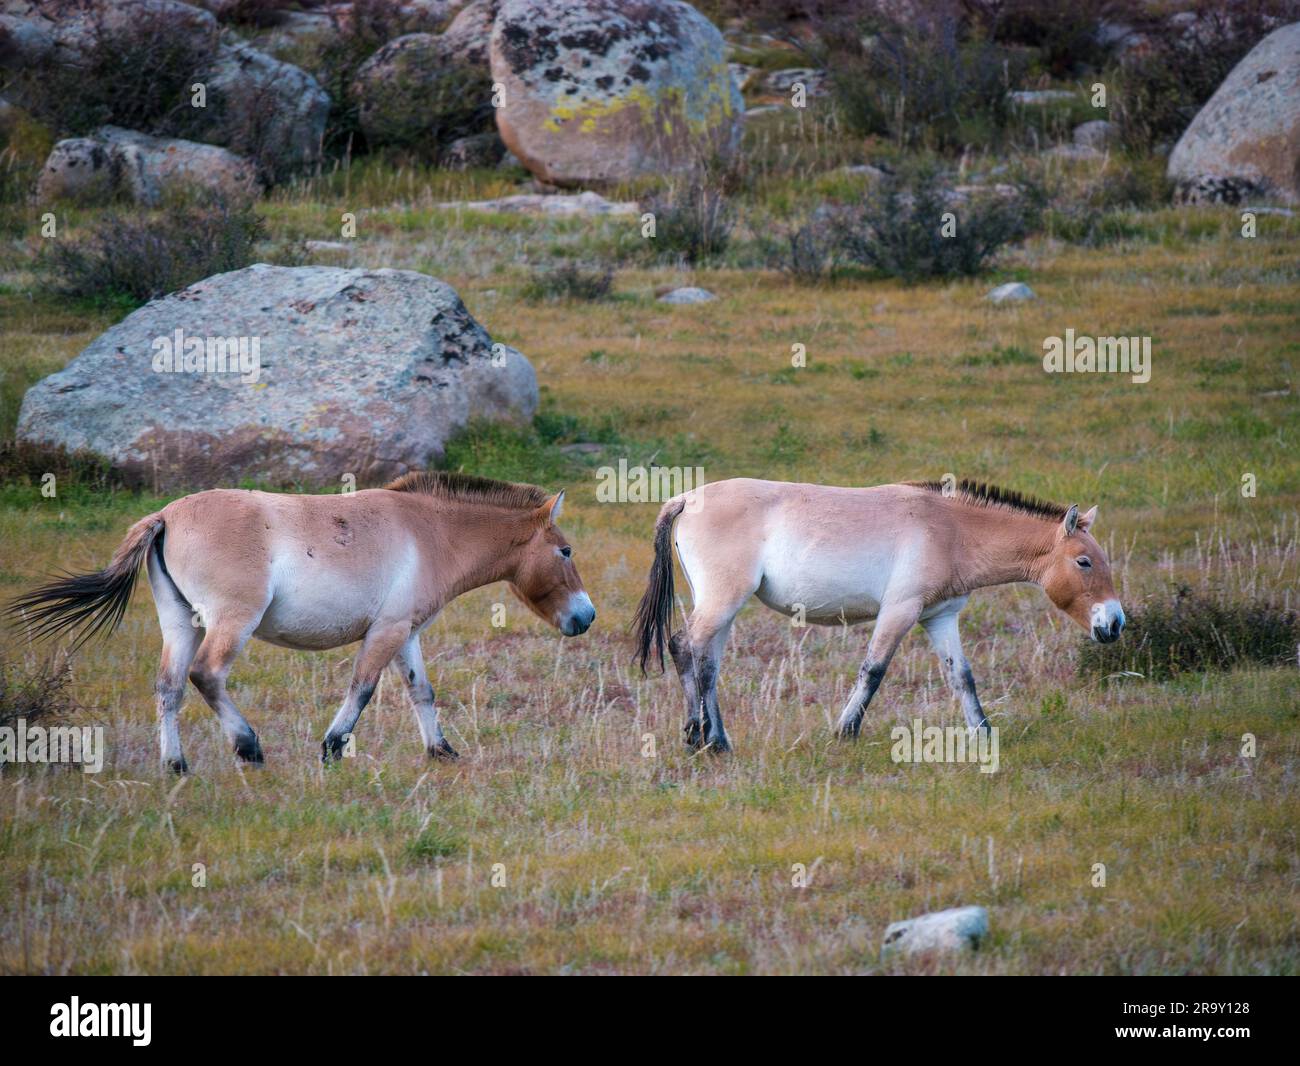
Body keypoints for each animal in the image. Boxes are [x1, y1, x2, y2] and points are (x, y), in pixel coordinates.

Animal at [7, 470, 595, 769]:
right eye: (565, 551)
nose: (585, 617)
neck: (429, 531)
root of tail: (165, 516)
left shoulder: (404, 632)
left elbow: (421, 691)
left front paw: (441, 751)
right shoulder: (385, 633)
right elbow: (362, 689)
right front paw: (332, 747)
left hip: (181, 625)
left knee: (169, 688)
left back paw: (176, 765)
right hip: (231, 622)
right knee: (206, 676)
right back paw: (248, 748)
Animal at [634, 478, 1123, 754]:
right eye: (1084, 562)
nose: (1115, 624)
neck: (950, 529)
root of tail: (686, 498)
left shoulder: (940, 618)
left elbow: (961, 677)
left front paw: (983, 734)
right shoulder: (900, 611)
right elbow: (873, 670)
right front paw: (845, 731)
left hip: (723, 606)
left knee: (707, 663)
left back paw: (716, 740)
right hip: (722, 601)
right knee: (687, 649)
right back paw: (700, 738)